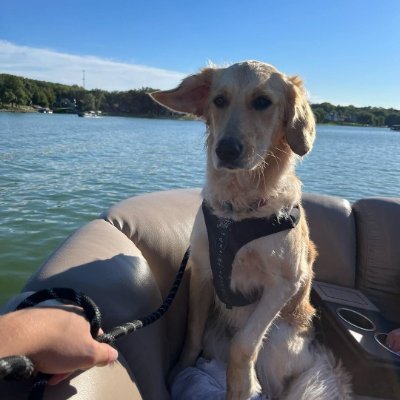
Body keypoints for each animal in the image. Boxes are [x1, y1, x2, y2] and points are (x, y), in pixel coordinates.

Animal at [152, 60, 352, 400]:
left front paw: (243, 384)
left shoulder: (283, 284)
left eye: (262, 102)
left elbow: (244, 343)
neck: (238, 211)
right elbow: (192, 332)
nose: (226, 150)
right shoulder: (202, 271)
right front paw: (180, 370)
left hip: (280, 339)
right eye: (219, 100)